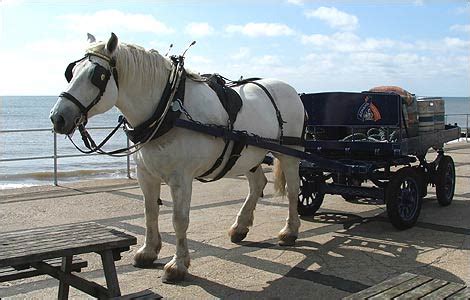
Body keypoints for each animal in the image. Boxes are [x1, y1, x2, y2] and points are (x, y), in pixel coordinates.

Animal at [49, 34, 302, 282]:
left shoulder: (181, 178)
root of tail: (291, 89)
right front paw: (148, 251)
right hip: (249, 155)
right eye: (71, 71)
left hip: (289, 153)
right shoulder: (145, 175)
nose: (57, 117)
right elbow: (150, 211)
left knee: (292, 190)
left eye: (97, 76)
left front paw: (178, 264)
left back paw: (289, 231)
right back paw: (240, 226)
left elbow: (179, 219)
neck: (169, 107)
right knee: (257, 184)